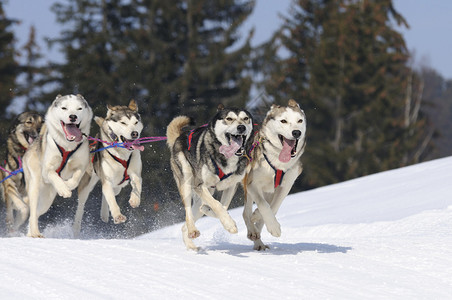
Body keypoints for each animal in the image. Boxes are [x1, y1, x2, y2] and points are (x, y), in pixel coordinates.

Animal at [23, 94, 93, 237]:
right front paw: (64, 189)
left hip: (47, 200)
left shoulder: (81, 166)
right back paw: (35, 233)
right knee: (33, 212)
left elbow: (75, 178)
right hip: (35, 187)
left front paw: (67, 186)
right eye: (64, 108)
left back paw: (30, 233)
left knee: (36, 214)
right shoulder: (47, 170)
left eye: (79, 108)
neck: (67, 145)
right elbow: (53, 174)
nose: (73, 116)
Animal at [73, 100, 143, 237]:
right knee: (82, 204)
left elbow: (137, 181)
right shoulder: (107, 178)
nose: (134, 133)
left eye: (135, 123)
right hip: (88, 183)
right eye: (123, 123)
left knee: (107, 193)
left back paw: (104, 214)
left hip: (119, 186)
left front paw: (134, 199)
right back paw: (76, 228)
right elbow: (111, 200)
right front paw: (117, 216)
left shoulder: (134, 172)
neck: (122, 154)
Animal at [168, 104, 254, 250]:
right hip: (186, 180)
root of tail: (180, 137)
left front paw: (224, 218)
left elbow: (222, 207)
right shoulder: (200, 186)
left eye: (245, 118)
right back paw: (193, 230)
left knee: (186, 223)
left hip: (207, 192)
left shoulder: (231, 186)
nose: (241, 127)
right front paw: (229, 224)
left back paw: (191, 245)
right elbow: (217, 205)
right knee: (188, 212)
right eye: (229, 118)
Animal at [244, 99, 308, 250]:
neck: (278, 164)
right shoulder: (252, 184)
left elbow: (273, 207)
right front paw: (274, 227)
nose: (296, 132)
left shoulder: (286, 185)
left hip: (269, 191)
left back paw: (258, 237)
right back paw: (253, 232)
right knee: (246, 212)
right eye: (283, 121)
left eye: (300, 120)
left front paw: (263, 219)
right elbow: (263, 205)